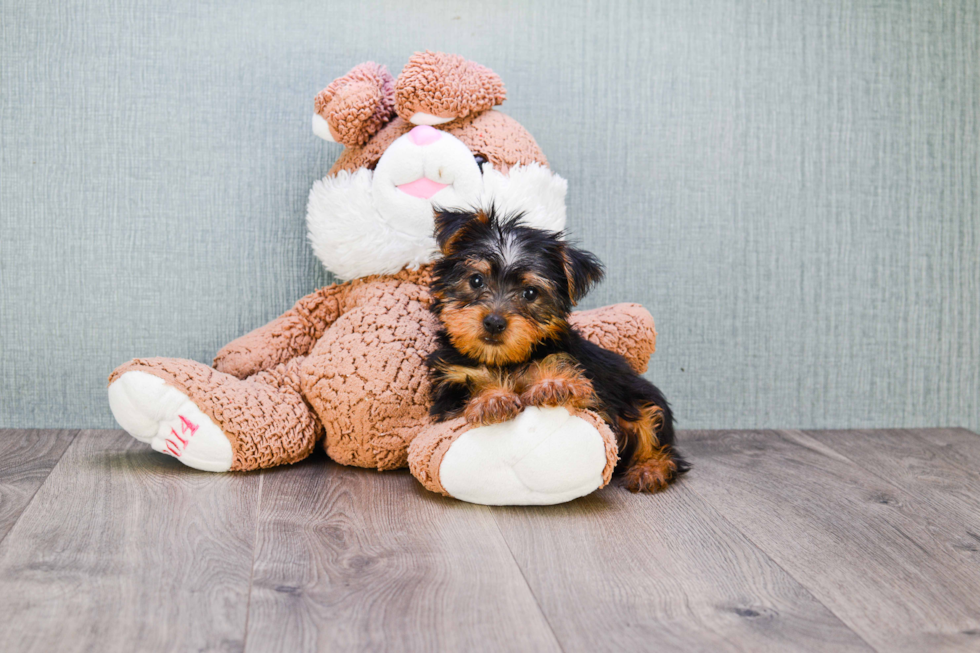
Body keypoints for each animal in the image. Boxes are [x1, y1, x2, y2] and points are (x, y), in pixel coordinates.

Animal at [426, 206, 688, 492]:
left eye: (530, 293)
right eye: (476, 280)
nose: (494, 322)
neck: (505, 359)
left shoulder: (589, 389)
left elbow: (562, 370)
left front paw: (552, 383)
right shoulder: (450, 388)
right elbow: (472, 386)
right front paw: (493, 398)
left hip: (637, 395)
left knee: (654, 428)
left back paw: (650, 469)